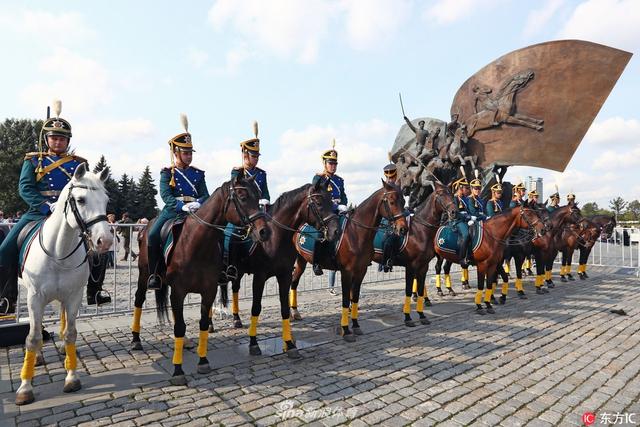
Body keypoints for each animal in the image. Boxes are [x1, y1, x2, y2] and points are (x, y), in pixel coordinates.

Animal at [15, 165, 112, 408]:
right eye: (81, 199)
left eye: (106, 200)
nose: (104, 241)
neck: (59, 250)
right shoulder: (35, 297)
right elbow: (32, 338)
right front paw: (25, 388)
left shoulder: (74, 295)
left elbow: (70, 333)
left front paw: (71, 377)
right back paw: (39, 356)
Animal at [131, 176, 268, 386]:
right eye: (243, 197)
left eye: (259, 196)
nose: (264, 231)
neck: (197, 242)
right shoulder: (178, 291)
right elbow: (179, 327)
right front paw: (178, 370)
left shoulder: (209, 290)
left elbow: (203, 323)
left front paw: (203, 361)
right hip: (144, 275)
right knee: (138, 300)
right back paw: (136, 340)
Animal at [220, 181, 340, 358]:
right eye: (318, 202)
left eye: (331, 201)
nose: (336, 231)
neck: (275, 237)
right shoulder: (259, 277)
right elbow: (256, 308)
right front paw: (253, 344)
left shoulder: (284, 275)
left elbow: (284, 308)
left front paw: (290, 344)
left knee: (235, 289)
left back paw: (236, 319)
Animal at [288, 181, 404, 342]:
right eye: (392, 202)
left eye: (404, 201)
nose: (403, 228)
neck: (356, 233)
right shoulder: (346, 272)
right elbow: (344, 299)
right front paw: (346, 330)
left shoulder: (361, 271)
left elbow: (354, 298)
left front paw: (355, 325)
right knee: (292, 282)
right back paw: (291, 313)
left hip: (301, 261)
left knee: (294, 281)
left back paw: (295, 312)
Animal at [368, 182, 458, 326]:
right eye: (440, 194)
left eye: (451, 194)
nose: (454, 212)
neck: (420, 231)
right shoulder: (410, 266)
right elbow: (408, 290)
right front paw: (408, 317)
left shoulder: (423, 266)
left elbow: (420, 289)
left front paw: (422, 315)